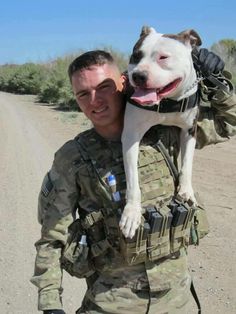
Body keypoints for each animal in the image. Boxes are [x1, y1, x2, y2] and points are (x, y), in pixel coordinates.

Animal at [120, 27, 201, 238]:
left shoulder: (190, 130)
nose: (138, 75)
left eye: (163, 57)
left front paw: (186, 191)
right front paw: (131, 213)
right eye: (136, 55)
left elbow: (187, 164)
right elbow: (133, 180)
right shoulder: (131, 135)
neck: (167, 103)